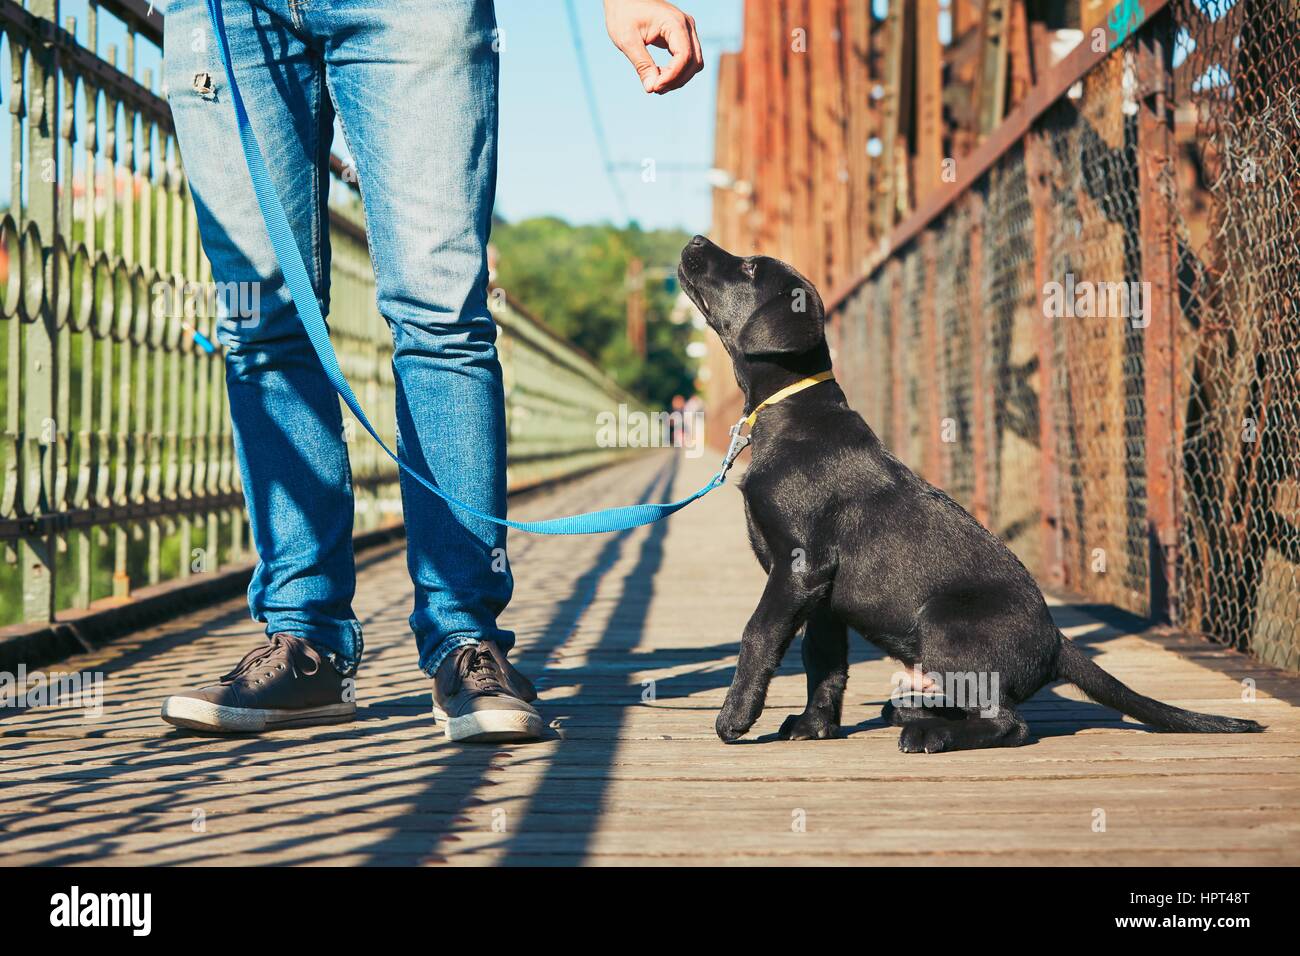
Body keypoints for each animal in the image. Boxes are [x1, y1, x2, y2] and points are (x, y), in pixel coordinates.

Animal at [676, 235, 1263, 749]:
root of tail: (1057, 642)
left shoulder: (799, 567)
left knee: (1010, 723)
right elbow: (824, 662)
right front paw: (813, 727)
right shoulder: (821, 595)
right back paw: (911, 710)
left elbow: (758, 635)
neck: (789, 412)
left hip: (944, 625)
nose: (697, 239)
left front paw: (734, 717)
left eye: (751, 267)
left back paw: (928, 734)